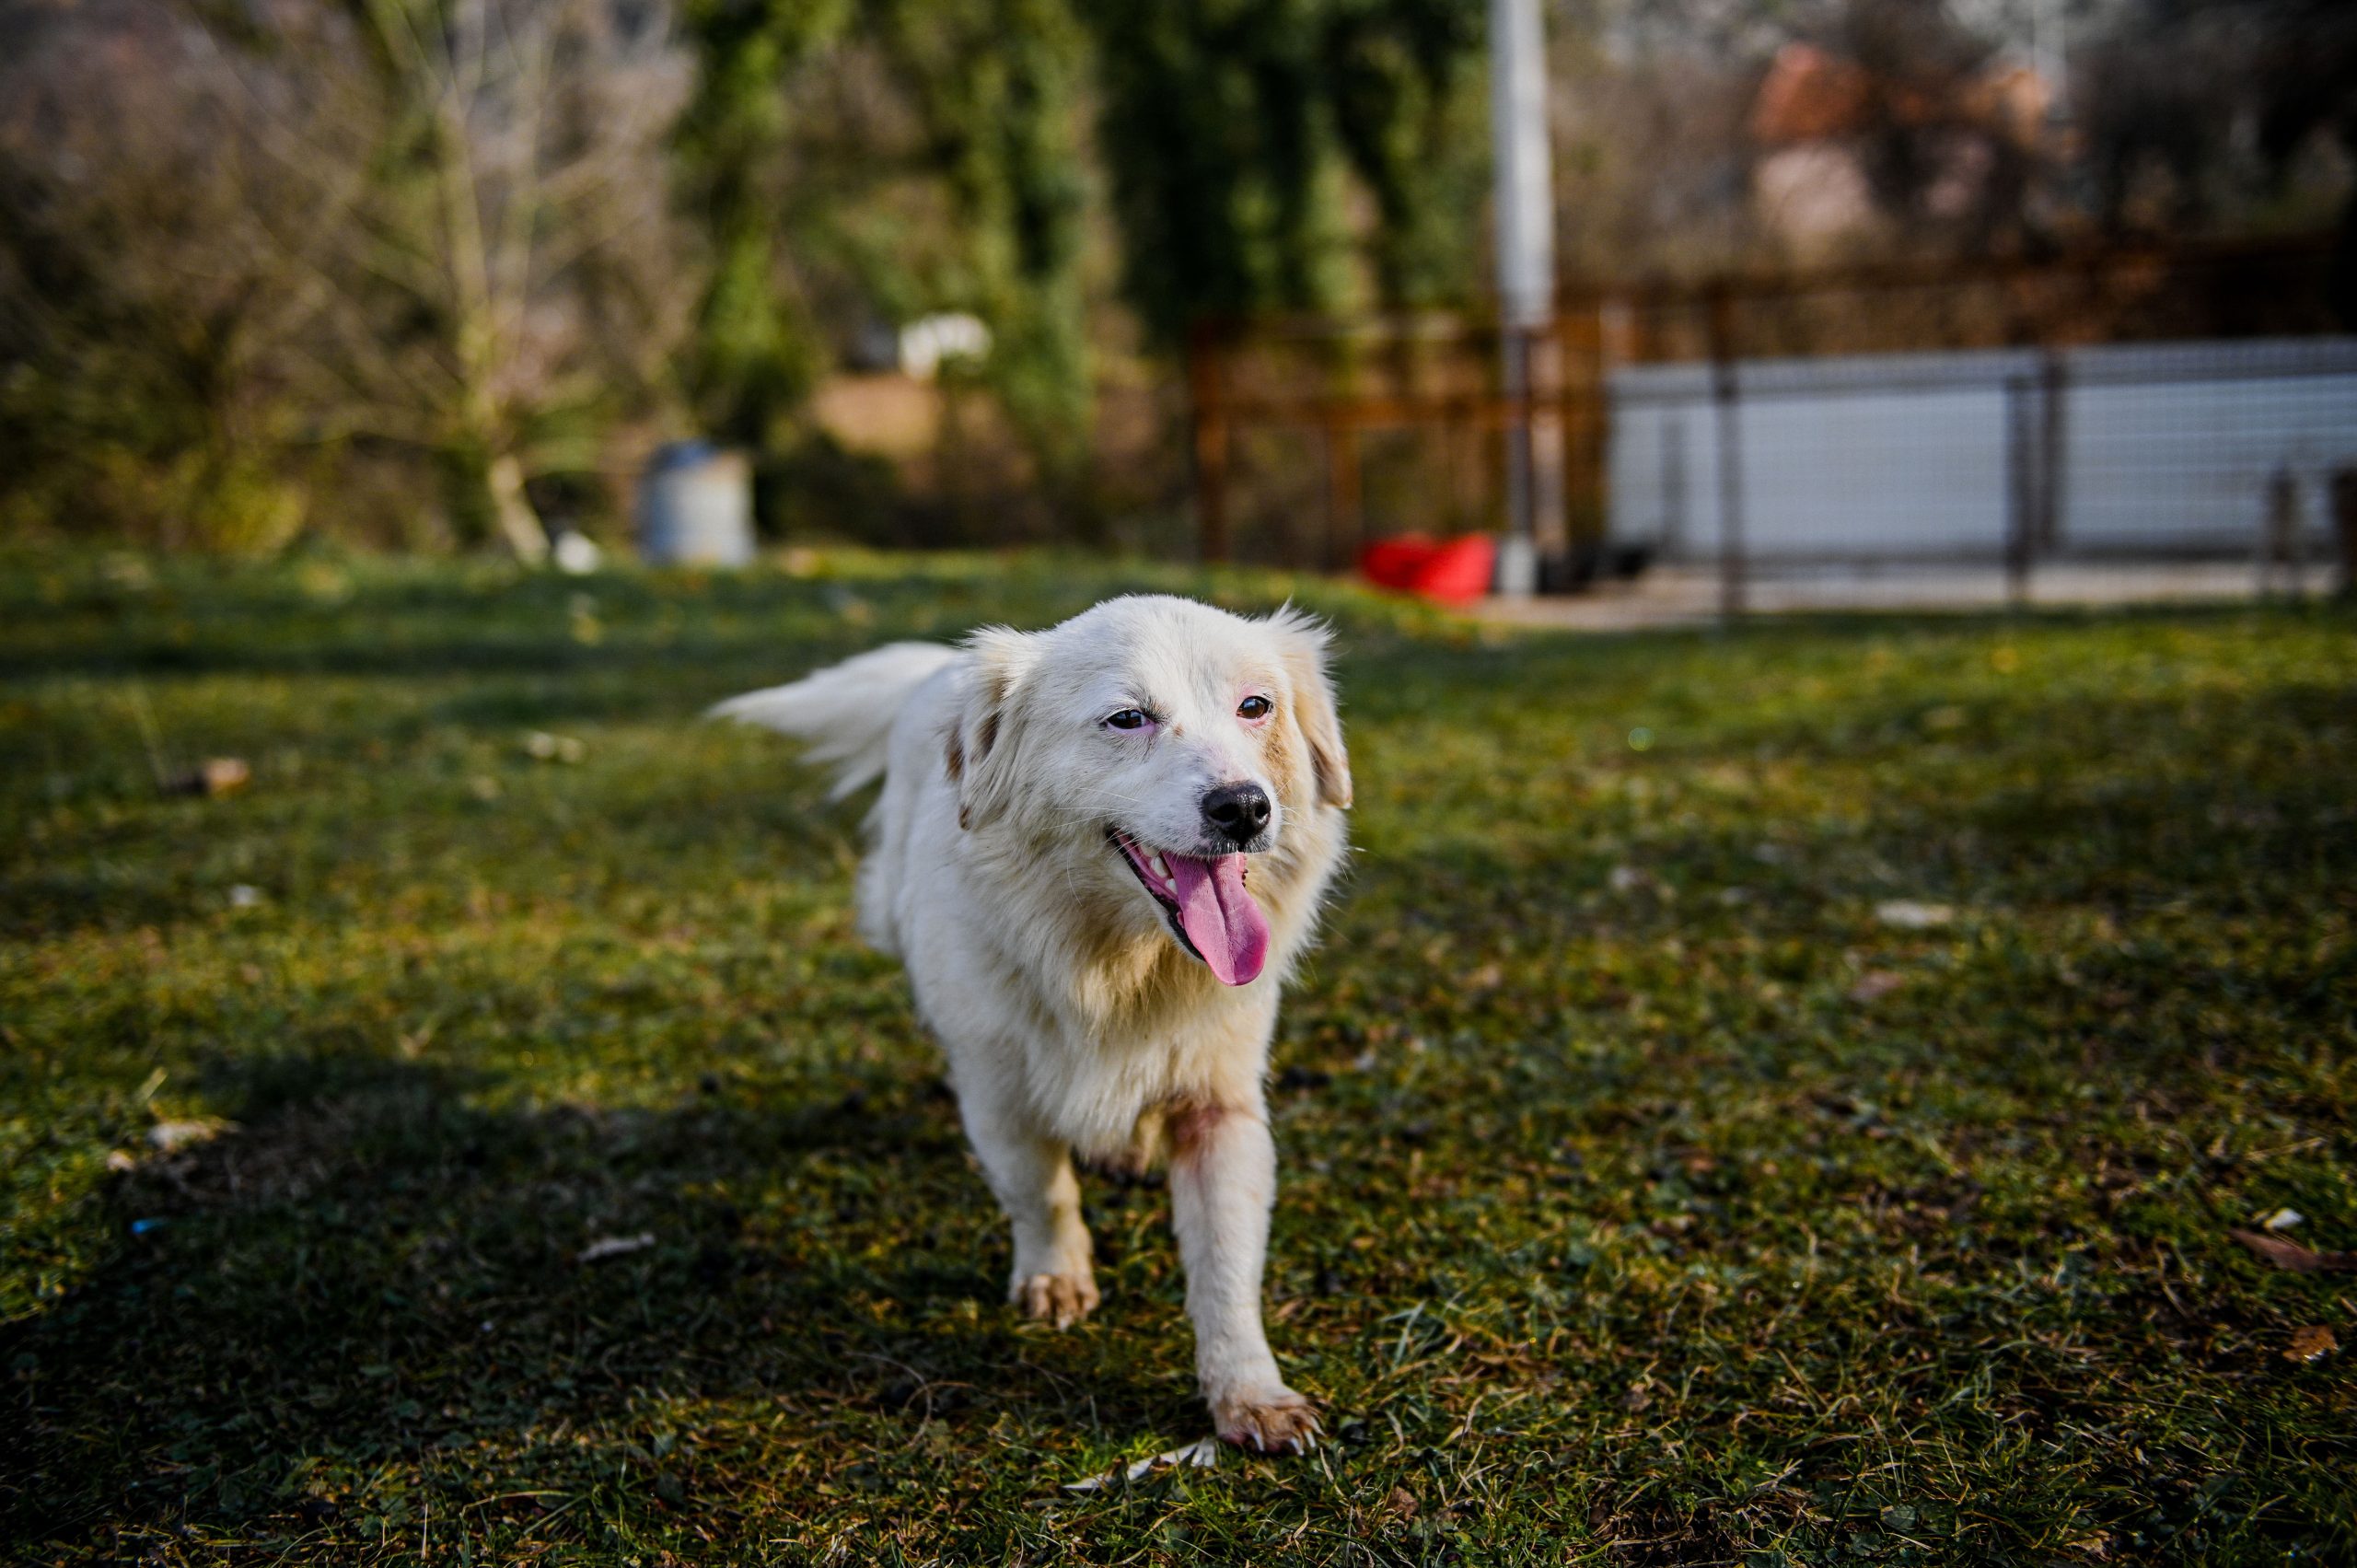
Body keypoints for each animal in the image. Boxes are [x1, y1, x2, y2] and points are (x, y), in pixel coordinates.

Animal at [707, 594, 1357, 1452]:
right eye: (1128, 718)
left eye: (1257, 707)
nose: (1245, 806)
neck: (1115, 970)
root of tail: (937, 669)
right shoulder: (996, 1090)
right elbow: (1038, 1190)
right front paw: (1056, 1274)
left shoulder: (1221, 1106)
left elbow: (1226, 1265)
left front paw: (1249, 1393)